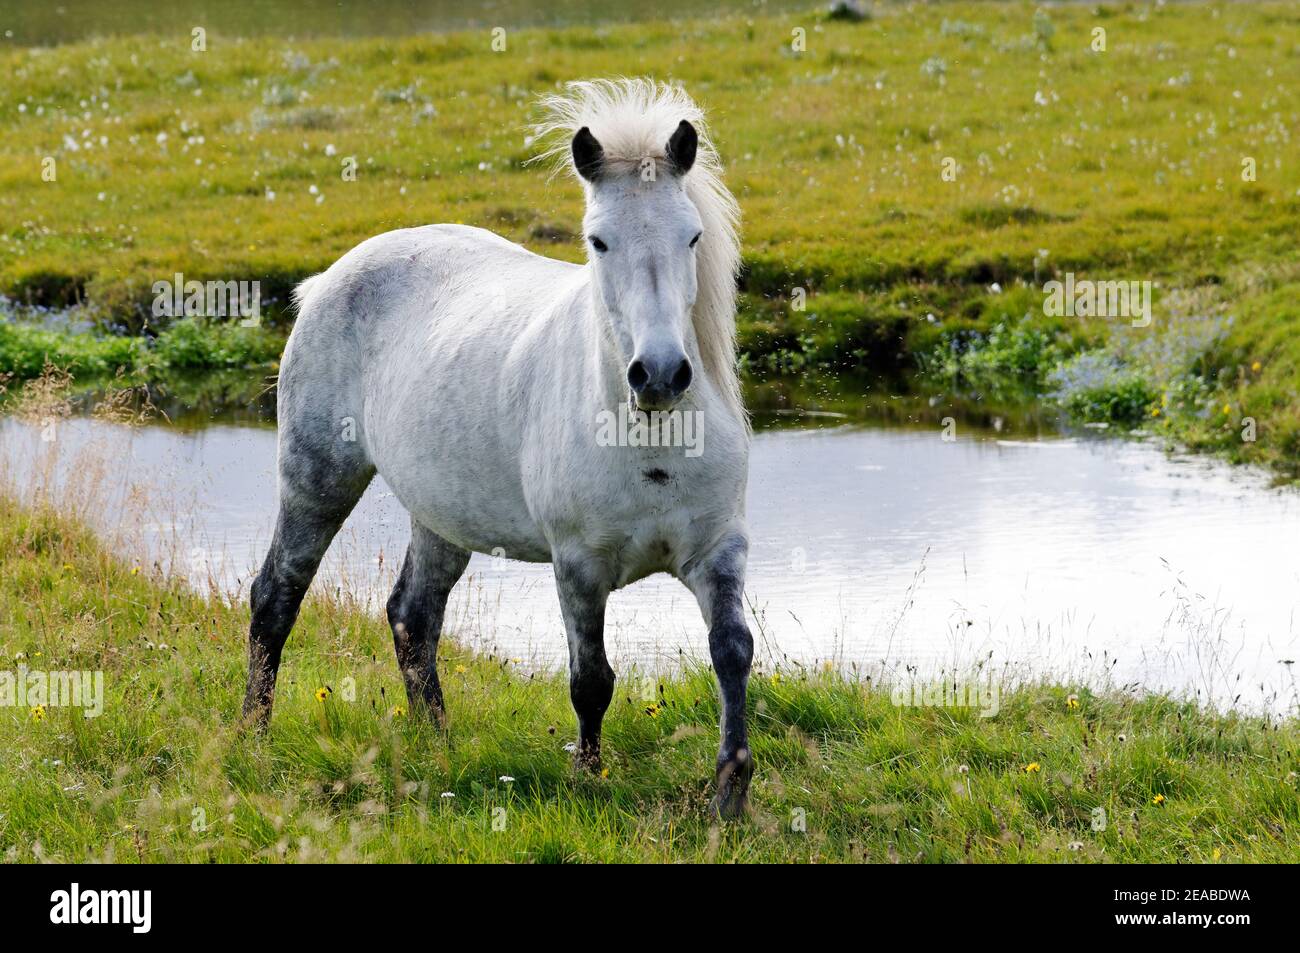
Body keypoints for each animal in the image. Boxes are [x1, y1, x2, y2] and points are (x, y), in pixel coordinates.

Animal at [239, 78, 759, 816]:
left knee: (413, 618)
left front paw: (730, 794)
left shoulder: (718, 551)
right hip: (317, 481)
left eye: (692, 236)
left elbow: (732, 651)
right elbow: (591, 679)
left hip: (438, 516)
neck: (652, 443)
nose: (659, 374)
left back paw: (438, 744)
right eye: (598, 241)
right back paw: (252, 739)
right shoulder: (578, 566)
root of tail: (329, 279)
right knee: (276, 598)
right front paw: (589, 779)